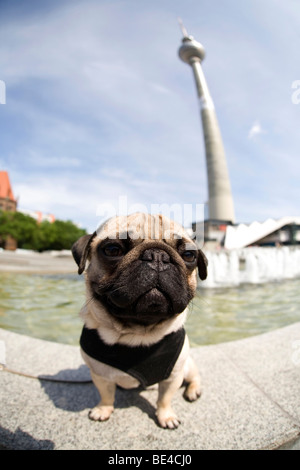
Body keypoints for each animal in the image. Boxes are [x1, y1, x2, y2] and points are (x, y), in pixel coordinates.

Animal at [72, 213, 207, 430]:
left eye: (188, 255)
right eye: (112, 250)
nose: (158, 256)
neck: (136, 333)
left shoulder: (173, 376)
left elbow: (164, 399)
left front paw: (166, 416)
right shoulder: (100, 375)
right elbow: (106, 395)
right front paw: (103, 409)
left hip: (187, 365)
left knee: (194, 377)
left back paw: (193, 390)